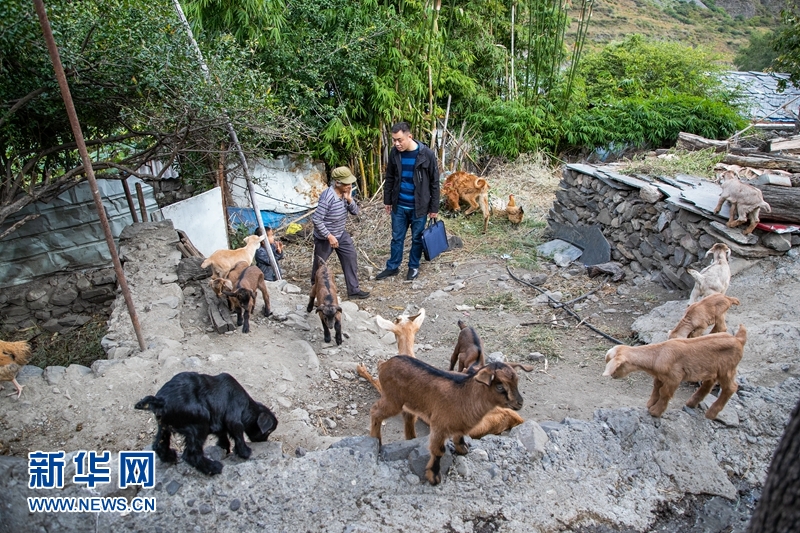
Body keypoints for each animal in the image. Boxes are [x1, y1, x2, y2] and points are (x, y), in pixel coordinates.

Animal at [135, 372, 277, 475]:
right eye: (269, 431)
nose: (264, 441)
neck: (247, 406)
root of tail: (161, 400)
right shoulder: (233, 417)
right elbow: (238, 434)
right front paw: (245, 452)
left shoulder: (219, 421)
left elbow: (222, 434)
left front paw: (224, 448)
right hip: (200, 424)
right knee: (191, 454)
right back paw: (213, 468)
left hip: (164, 426)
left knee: (159, 445)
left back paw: (170, 457)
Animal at [369, 355, 533, 485]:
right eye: (500, 386)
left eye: (517, 381)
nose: (520, 403)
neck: (465, 395)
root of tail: (384, 364)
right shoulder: (439, 426)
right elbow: (438, 451)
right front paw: (434, 477)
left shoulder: (459, 425)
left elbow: (459, 437)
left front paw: (463, 450)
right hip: (392, 399)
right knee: (375, 410)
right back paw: (377, 440)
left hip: (409, 402)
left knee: (408, 417)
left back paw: (411, 438)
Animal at [603, 324, 747, 419]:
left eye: (616, 367)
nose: (613, 375)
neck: (658, 354)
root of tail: (739, 340)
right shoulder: (660, 376)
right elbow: (656, 388)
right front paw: (650, 404)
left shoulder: (675, 377)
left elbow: (665, 393)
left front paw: (655, 412)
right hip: (712, 368)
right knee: (709, 382)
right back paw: (692, 403)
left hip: (727, 368)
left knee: (731, 387)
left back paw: (711, 413)